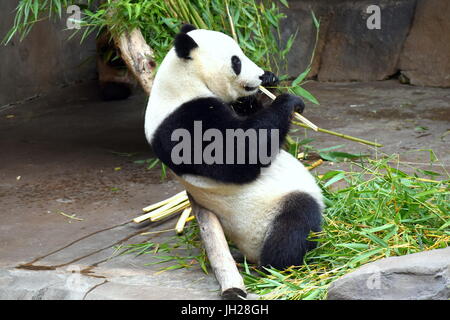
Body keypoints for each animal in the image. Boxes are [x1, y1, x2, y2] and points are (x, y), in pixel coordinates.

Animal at [144, 25, 324, 268]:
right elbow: (238, 153)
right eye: (236, 61)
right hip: (262, 217)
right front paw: (287, 100)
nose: (259, 75)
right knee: (296, 220)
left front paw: (270, 82)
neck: (184, 82)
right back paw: (285, 262)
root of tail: (251, 254)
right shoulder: (184, 119)